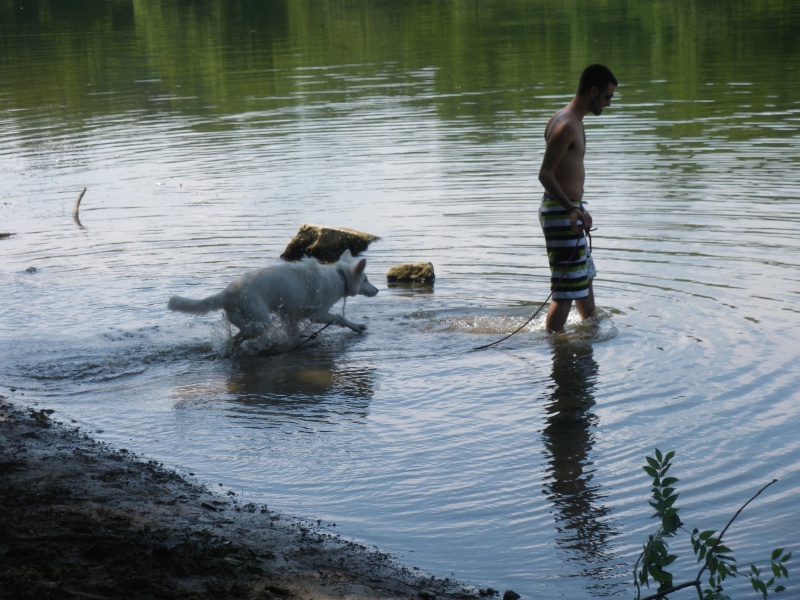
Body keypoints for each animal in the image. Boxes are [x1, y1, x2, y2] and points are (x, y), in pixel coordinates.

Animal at [168, 250, 378, 342]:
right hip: (261, 320)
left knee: (236, 338)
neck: (340, 277)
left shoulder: (291, 315)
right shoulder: (316, 313)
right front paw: (357, 326)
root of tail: (228, 292)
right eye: (366, 279)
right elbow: (339, 318)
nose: (377, 291)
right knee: (243, 335)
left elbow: (292, 331)